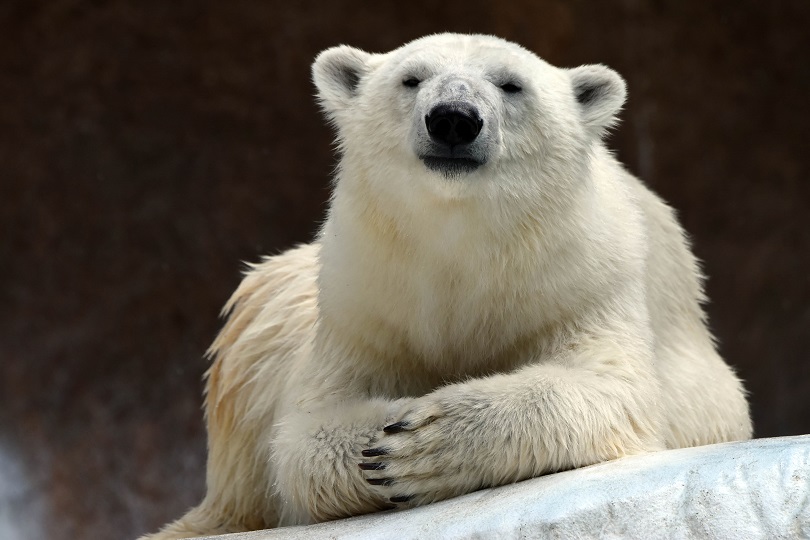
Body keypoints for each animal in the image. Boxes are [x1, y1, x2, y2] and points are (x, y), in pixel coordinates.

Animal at [140, 34, 752, 540]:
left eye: (511, 84)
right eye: (411, 78)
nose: (454, 119)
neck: (463, 250)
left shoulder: (582, 282)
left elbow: (610, 392)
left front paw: (422, 444)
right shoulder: (363, 303)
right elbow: (303, 435)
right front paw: (380, 442)